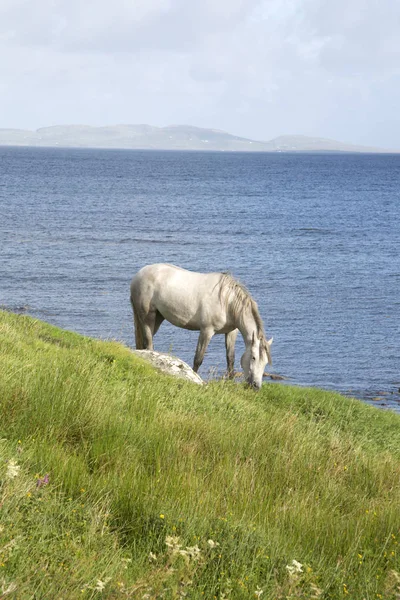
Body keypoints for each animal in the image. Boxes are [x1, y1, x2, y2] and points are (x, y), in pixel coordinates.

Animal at [130, 264, 274, 390]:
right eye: (254, 357)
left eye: (266, 362)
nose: (256, 386)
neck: (227, 302)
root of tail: (138, 275)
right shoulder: (206, 331)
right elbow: (198, 359)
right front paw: (194, 378)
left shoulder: (231, 332)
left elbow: (230, 359)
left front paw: (230, 382)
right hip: (148, 317)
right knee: (148, 344)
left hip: (158, 318)